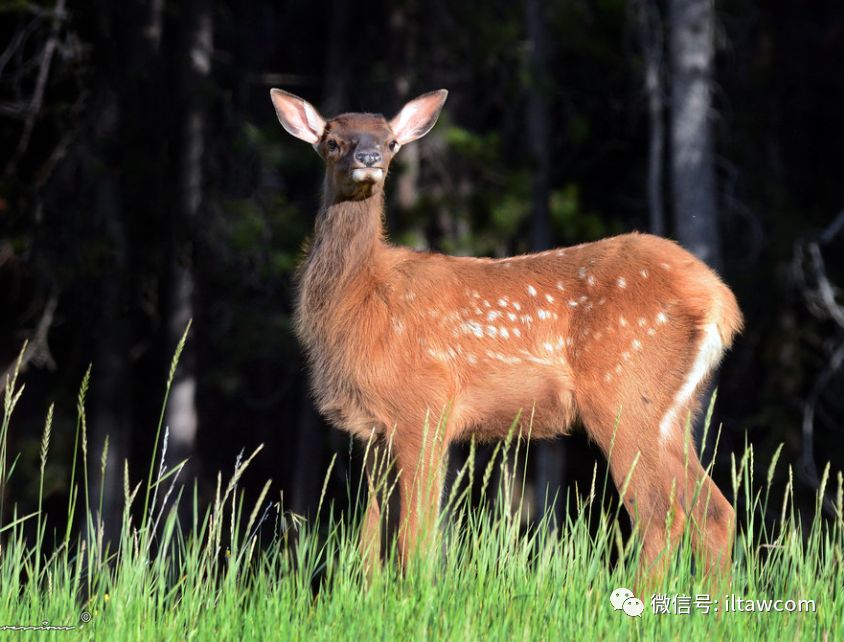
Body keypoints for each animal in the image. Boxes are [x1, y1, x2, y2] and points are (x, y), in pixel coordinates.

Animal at [270, 87, 740, 588]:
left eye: (391, 141)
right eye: (333, 141)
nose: (370, 158)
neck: (359, 303)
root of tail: (721, 300)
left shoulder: (425, 406)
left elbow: (415, 534)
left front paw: (417, 592)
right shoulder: (374, 428)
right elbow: (369, 539)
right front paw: (370, 594)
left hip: (625, 393)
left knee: (659, 513)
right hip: (675, 410)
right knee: (714, 512)